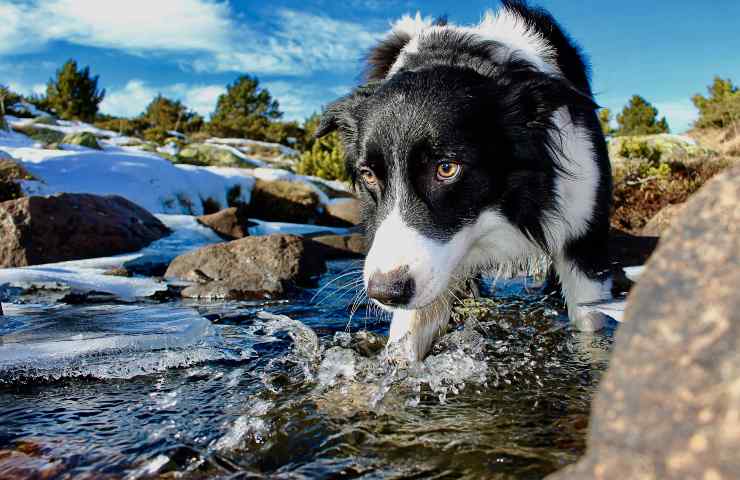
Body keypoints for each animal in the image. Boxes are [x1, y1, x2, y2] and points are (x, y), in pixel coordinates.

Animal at [318, 0, 612, 360]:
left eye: (447, 169)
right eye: (369, 175)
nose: (385, 292)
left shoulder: (583, 232)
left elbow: (589, 325)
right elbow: (406, 339)